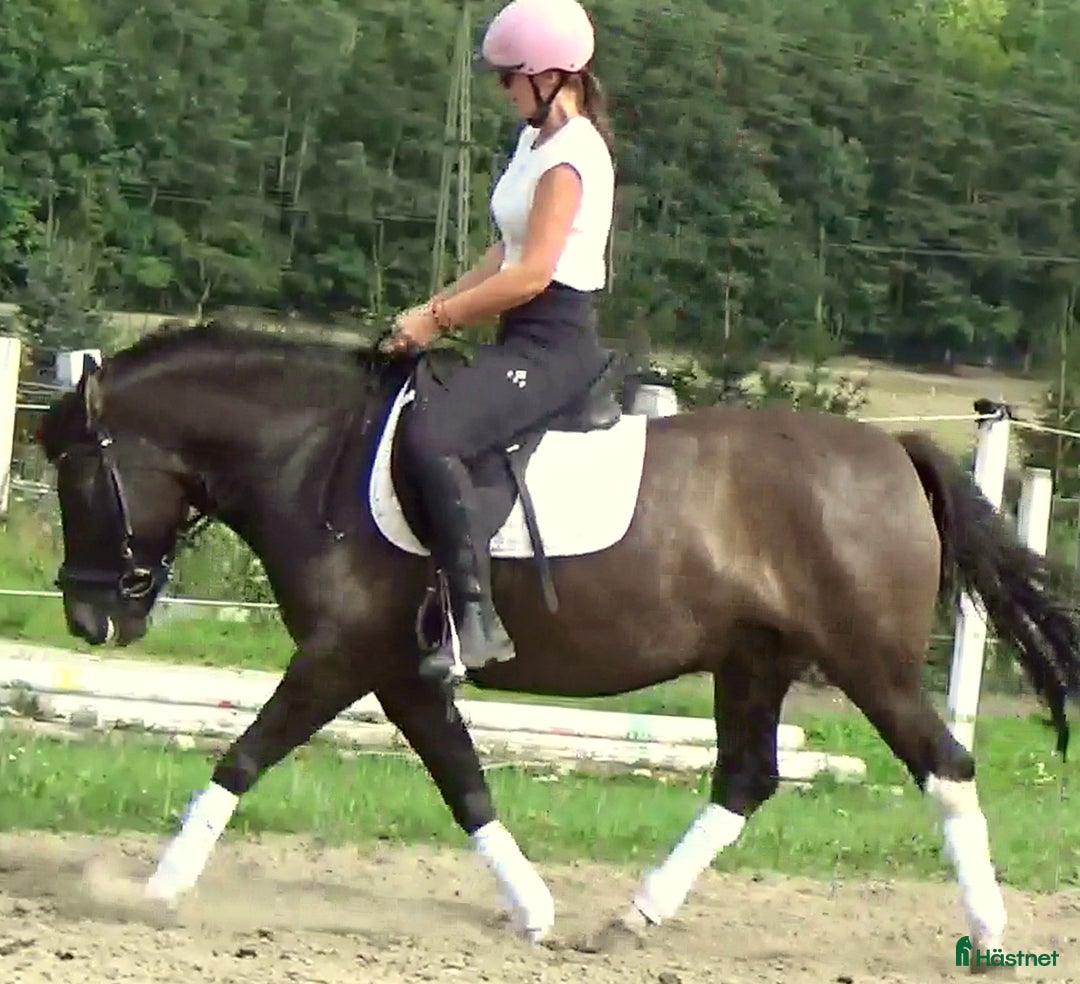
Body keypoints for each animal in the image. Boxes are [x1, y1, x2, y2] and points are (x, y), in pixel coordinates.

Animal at [36, 321, 1080, 962]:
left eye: (79, 476)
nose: (90, 620)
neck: (315, 457)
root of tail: (891, 449)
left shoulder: (344, 657)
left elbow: (244, 757)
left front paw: (154, 888)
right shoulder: (405, 675)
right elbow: (464, 784)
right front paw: (534, 910)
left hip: (869, 662)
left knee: (944, 764)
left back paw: (990, 938)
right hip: (755, 660)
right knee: (746, 779)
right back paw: (633, 916)